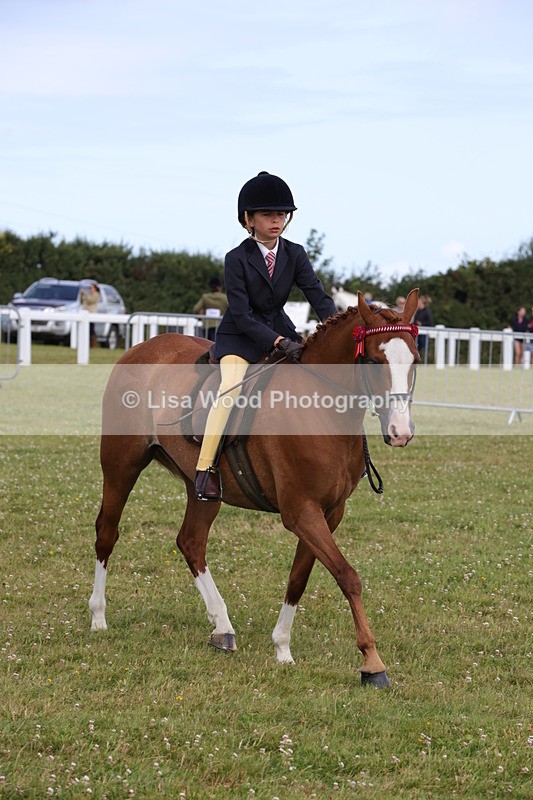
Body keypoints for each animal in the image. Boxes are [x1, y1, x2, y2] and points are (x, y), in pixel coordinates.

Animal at [89, 289, 420, 688]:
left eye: (415, 361)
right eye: (372, 361)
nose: (400, 432)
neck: (321, 409)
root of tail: (143, 347)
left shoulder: (328, 513)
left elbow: (298, 579)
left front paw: (282, 648)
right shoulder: (301, 512)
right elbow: (347, 576)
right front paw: (372, 662)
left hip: (203, 489)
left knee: (191, 542)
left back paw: (222, 627)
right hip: (121, 466)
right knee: (107, 532)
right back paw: (98, 616)